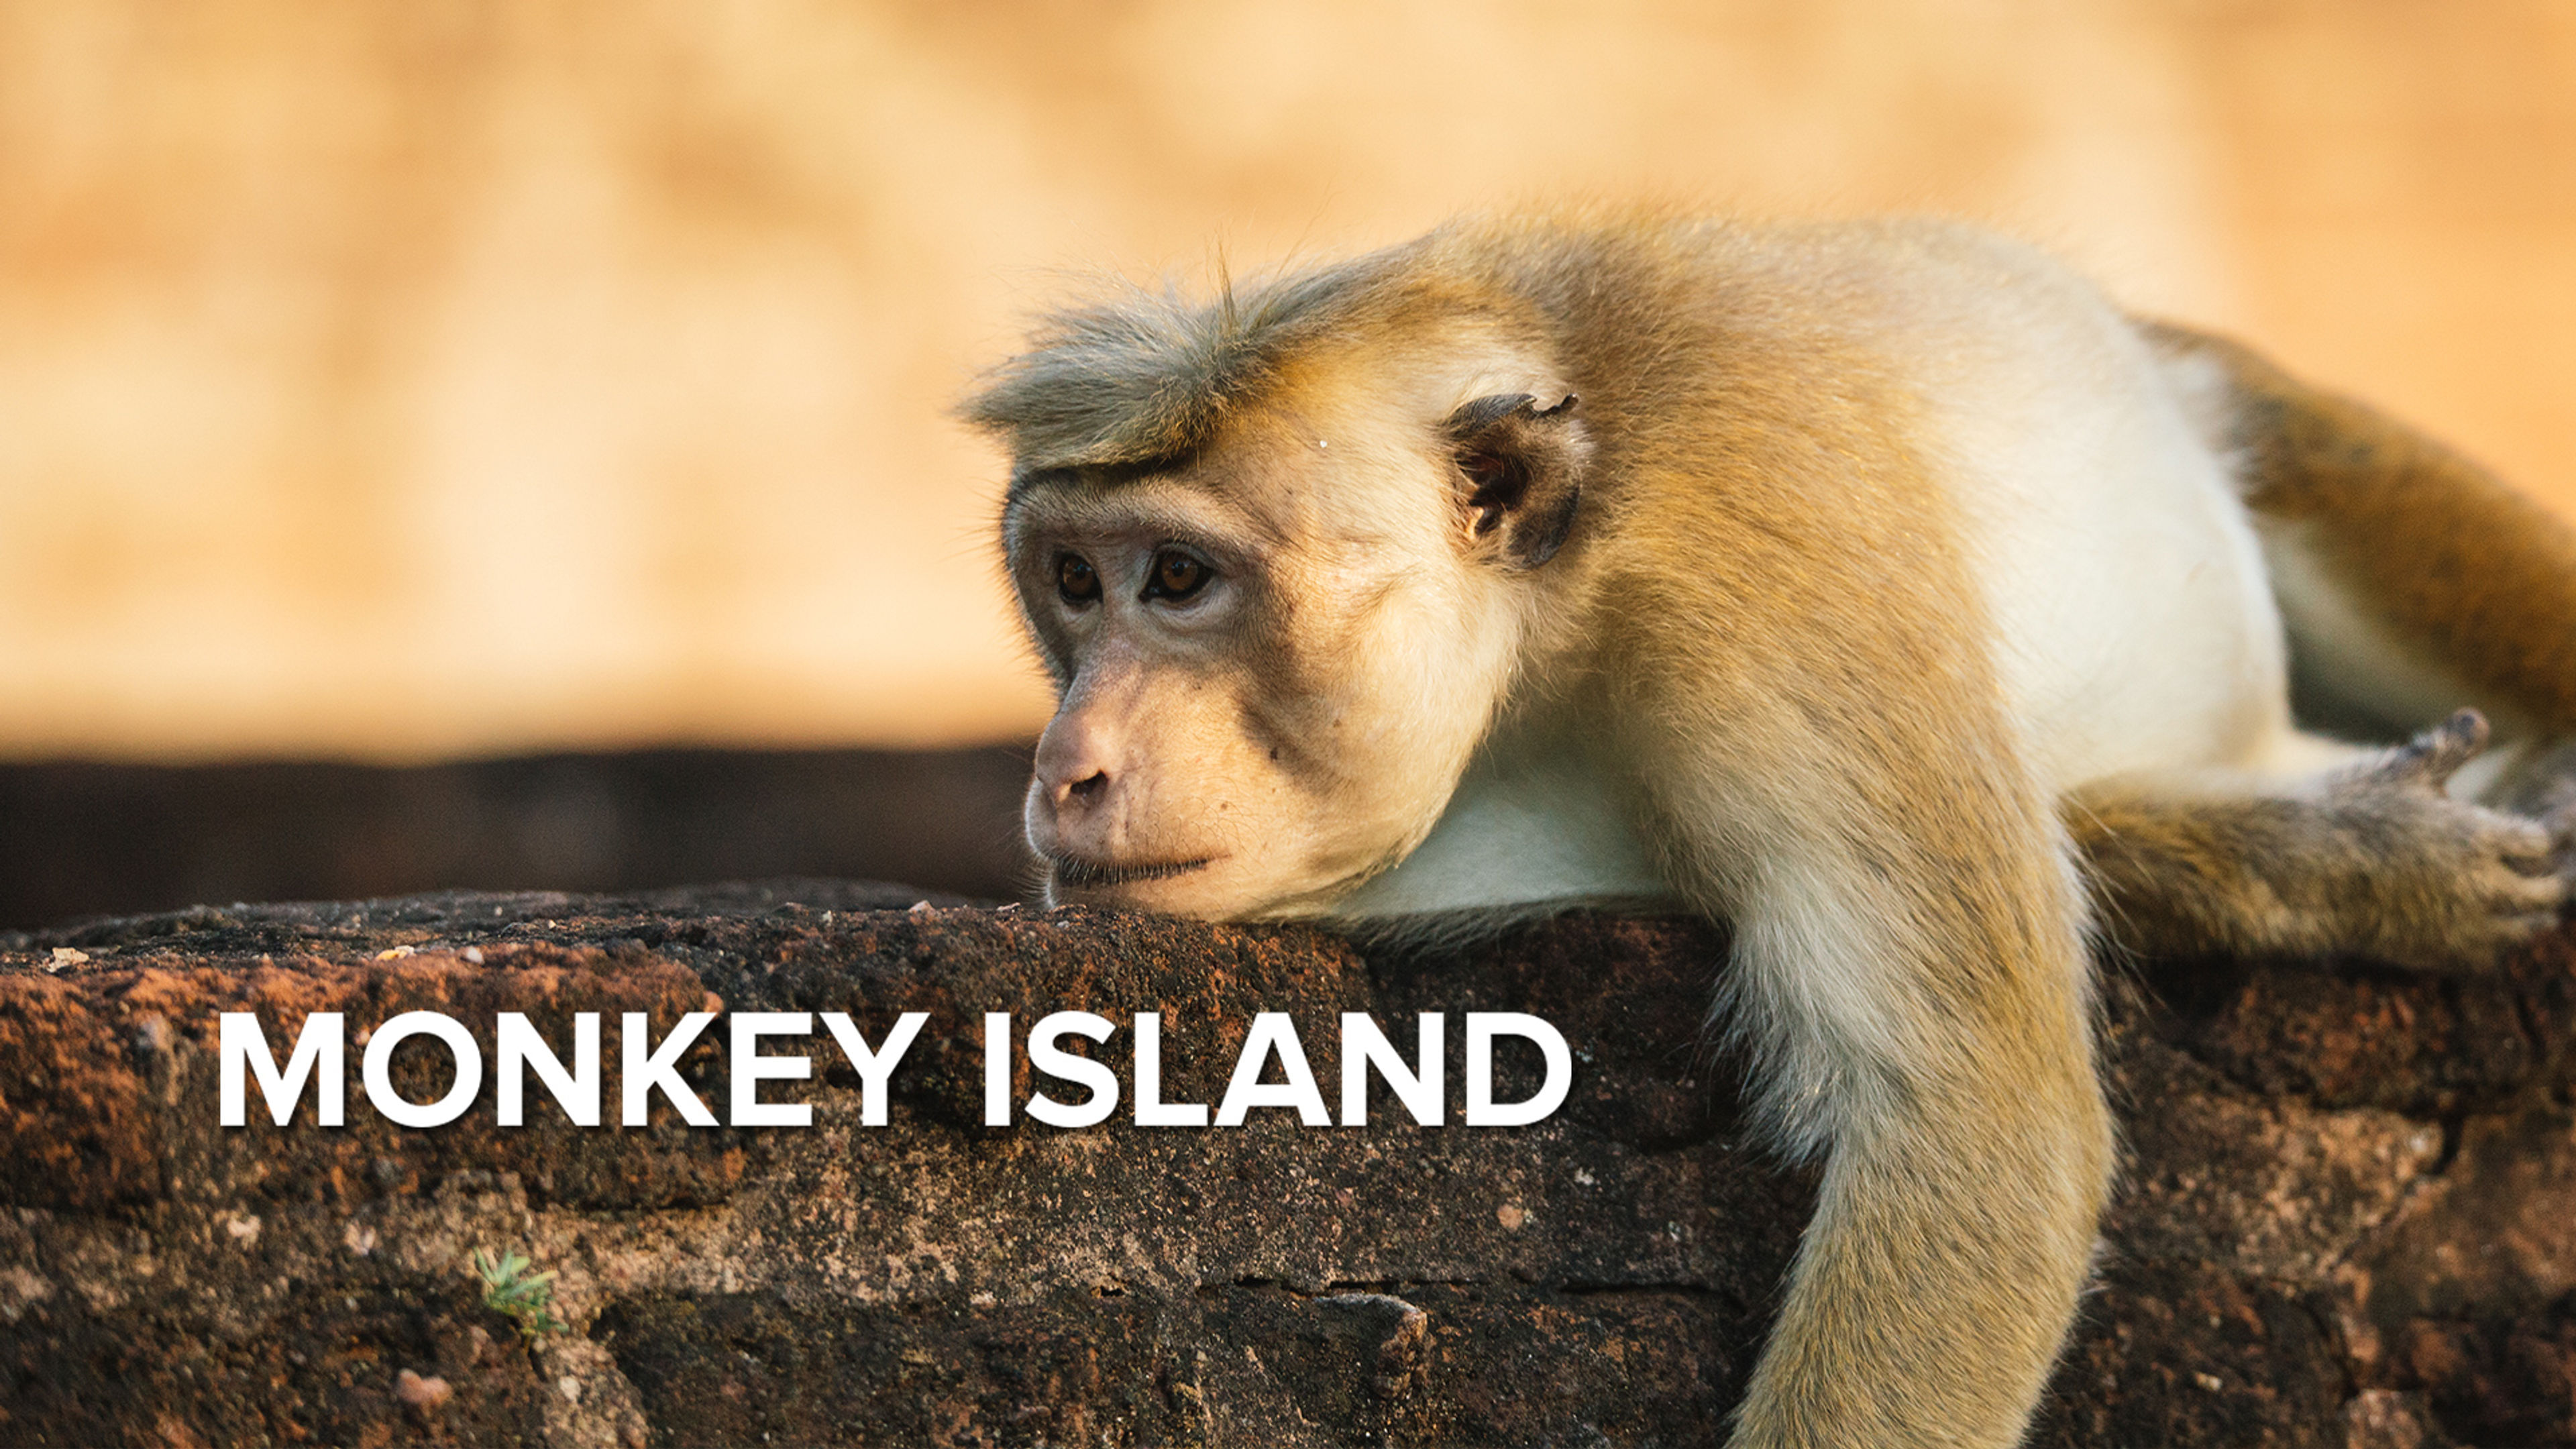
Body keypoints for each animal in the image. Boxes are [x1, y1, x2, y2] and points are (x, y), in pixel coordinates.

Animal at [960, 212, 2576, 1448]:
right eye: (1075, 585)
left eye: (1178, 578)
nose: (1065, 763)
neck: (1549, 638)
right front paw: (2342, 855)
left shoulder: (1763, 570)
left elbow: (1971, 1118)